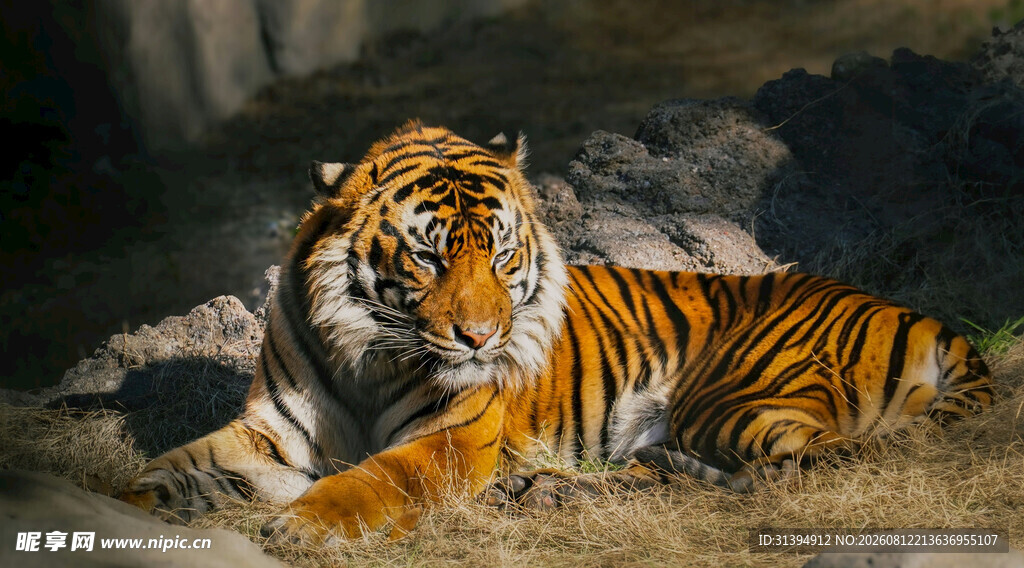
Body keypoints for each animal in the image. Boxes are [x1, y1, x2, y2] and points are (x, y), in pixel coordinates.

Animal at [120, 120, 993, 543]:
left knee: (811, 468)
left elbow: (373, 480)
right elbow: (174, 467)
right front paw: (119, 504)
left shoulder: (453, 438)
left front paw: (303, 525)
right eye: (429, 257)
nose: (480, 341)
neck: (367, 354)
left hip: (737, 403)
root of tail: (924, 317)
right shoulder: (269, 436)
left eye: (502, 255)